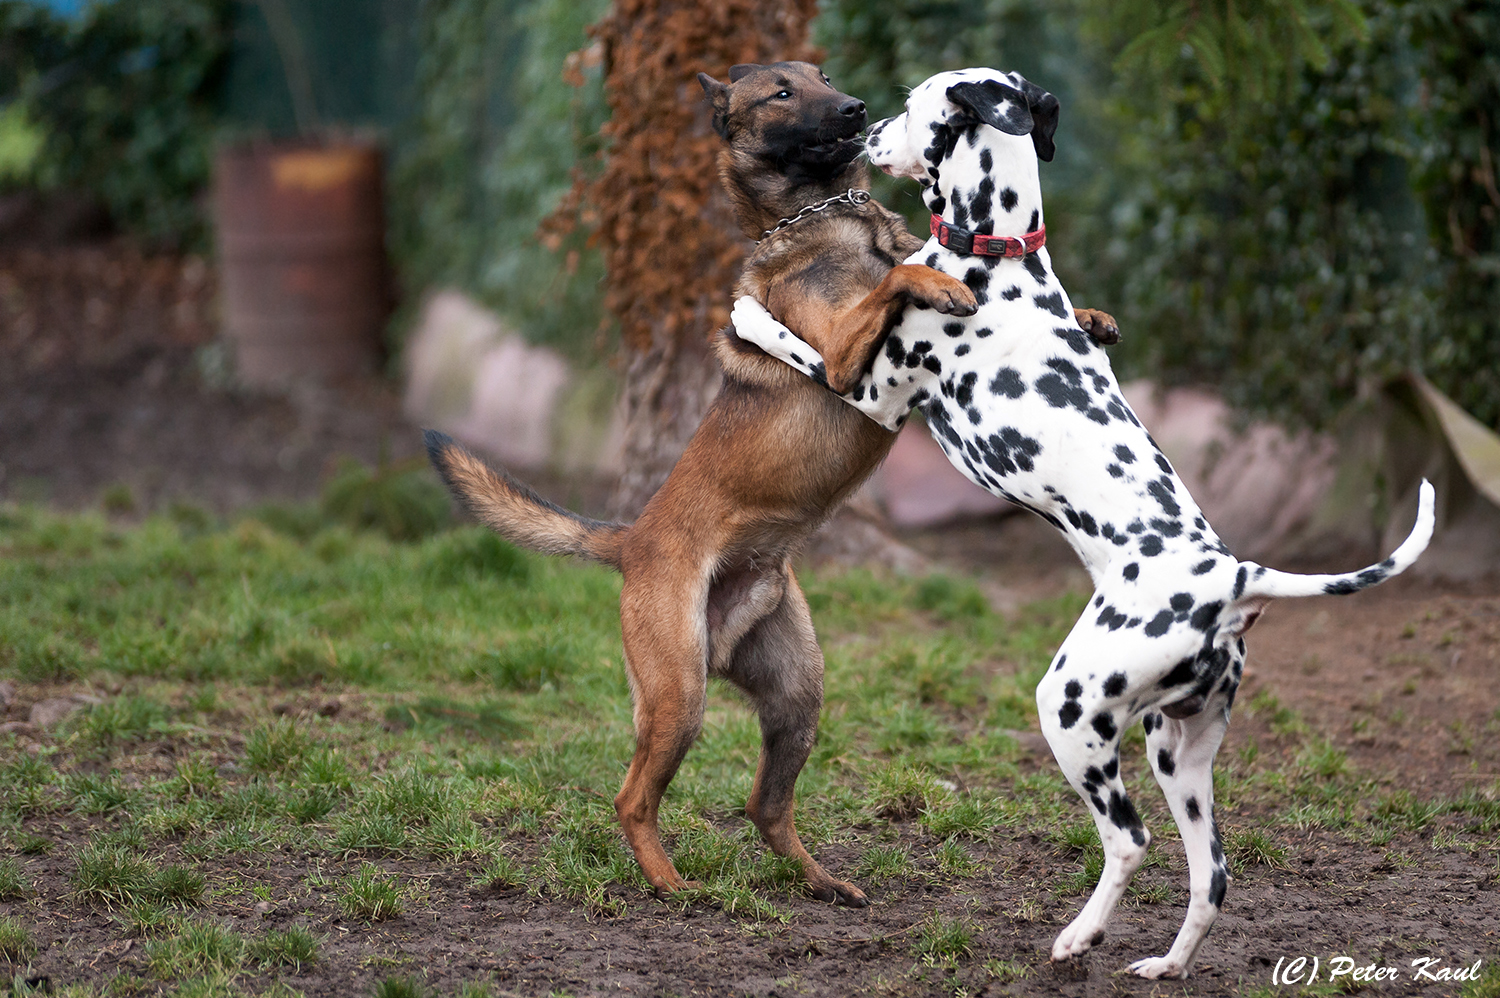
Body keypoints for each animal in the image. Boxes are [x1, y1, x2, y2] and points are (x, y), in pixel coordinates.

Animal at [429, 60, 1122, 900]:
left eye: (822, 76)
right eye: (782, 93)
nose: (856, 108)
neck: (833, 218)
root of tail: (630, 540)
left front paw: (1090, 315)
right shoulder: (850, 363)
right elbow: (901, 278)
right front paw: (939, 284)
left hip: (797, 695)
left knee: (765, 805)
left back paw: (820, 881)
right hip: (679, 694)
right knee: (632, 796)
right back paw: (670, 885)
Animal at [732, 68, 1434, 972]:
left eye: (913, 105)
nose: (867, 129)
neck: (995, 255)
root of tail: (1235, 577)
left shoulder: (869, 390)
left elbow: (790, 340)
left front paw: (746, 316)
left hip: (1069, 712)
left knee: (1129, 841)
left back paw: (1078, 936)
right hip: (1179, 754)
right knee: (1212, 875)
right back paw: (1166, 964)